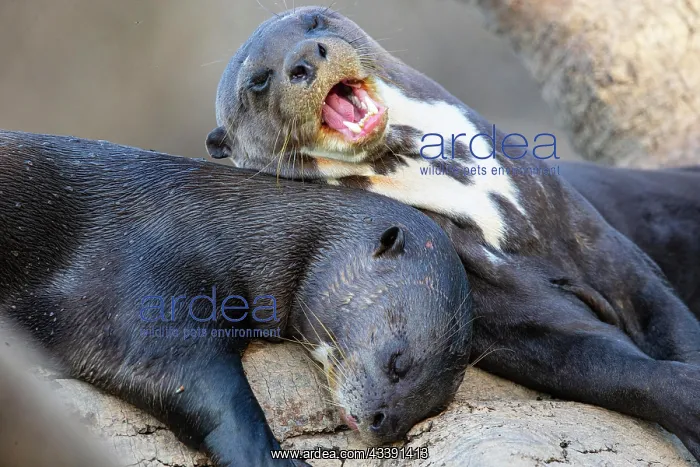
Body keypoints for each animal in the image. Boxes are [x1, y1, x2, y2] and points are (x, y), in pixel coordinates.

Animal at [0, 130, 472, 466]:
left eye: (430, 405)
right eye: (398, 361)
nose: (383, 423)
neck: (224, 225)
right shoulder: (141, 281)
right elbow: (196, 383)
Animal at [206, 6, 700, 460]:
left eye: (313, 21)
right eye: (258, 81)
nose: (304, 58)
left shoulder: (597, 242)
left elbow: (665, 315)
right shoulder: (498, 308)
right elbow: (609, 368)